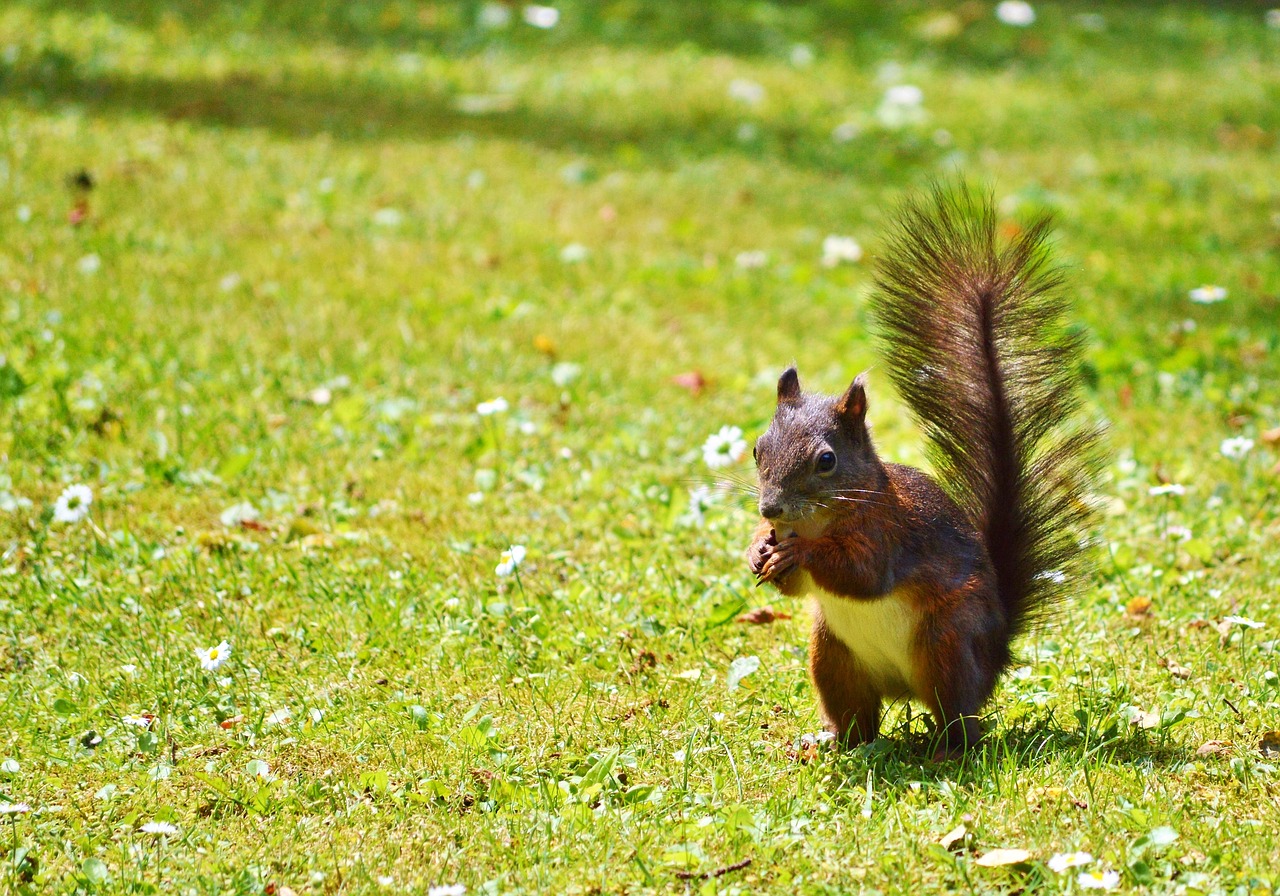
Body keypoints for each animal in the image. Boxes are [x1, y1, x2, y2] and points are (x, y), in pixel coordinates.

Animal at [747, 184, 1100, 757]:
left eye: (827, 461)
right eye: (758, 449)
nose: (770, 508)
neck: (819, 520)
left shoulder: (889, 533)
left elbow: (863, 574)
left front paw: (802, 553)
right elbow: (795, 588)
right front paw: (759, 549)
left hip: (946, 643)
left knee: (961, 719)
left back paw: (945, 751)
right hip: (833, 656)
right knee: (860, 721)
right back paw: (830, 743)